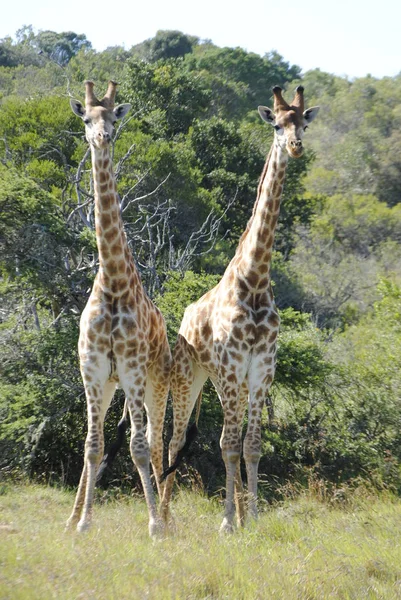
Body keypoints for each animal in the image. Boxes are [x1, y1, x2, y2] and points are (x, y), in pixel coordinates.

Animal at [159, 85, 318, 536]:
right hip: (189, 377)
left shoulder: (261, 370)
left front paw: (254, 518)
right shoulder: (232, 368)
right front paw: (228, 522)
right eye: (277, 125)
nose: (296, 147)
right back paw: (164, 517)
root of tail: (182, 321)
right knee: (175, 441)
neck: (255, 280)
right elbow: (227, 446)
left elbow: (252, 445)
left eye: (303, 125)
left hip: (220, 383)